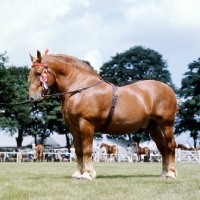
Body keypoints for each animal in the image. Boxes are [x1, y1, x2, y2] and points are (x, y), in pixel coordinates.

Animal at [27, 49, 178, 180]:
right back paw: (164, 173)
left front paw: (87, 175)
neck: (79, 88)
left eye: (39, 73)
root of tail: (167, 87)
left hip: (166, 124)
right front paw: (78, 174)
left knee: (170, 146)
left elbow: (87, 150)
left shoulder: (86, 124)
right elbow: (78, 150)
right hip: (153, 127)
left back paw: (171, 173)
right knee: (162, 148)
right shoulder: (74, 128)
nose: (32, 98)